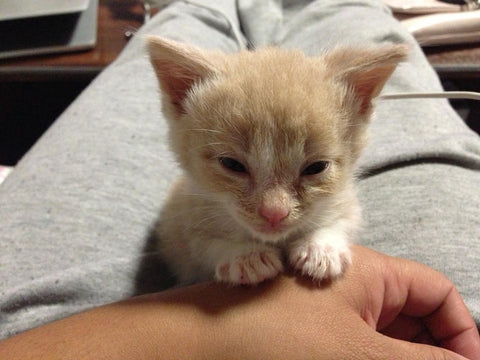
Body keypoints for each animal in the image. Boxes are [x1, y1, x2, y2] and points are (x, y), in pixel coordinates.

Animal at [149, 35, 404, 284]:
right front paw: (245, 254)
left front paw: (320, 247)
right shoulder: (180, 219)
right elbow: (201, 243)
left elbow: (344, 217)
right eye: (232, 165)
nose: (274, 213)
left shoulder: (345, 198)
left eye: (316, 167)